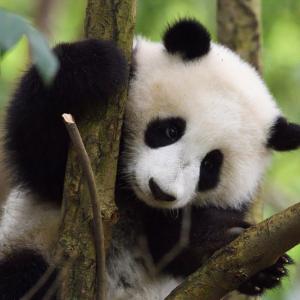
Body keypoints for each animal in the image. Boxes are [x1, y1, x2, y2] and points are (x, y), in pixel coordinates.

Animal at [0, 19, 300, 300]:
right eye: (170, 130)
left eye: (210, 165)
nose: (160, 190)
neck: (132, 198)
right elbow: (39, 149)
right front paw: (95, 64)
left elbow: (173, 244)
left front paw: (252, 259)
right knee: (26, 274)